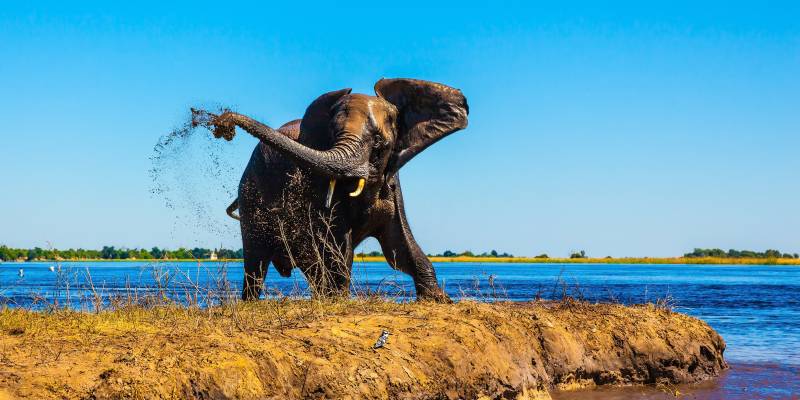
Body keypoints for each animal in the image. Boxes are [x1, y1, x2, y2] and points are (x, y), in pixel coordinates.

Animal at [192, 78, 468, 302]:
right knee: (257, 261)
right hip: (250, 195)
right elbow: (337, 243)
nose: (223, 122)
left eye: (379, 143)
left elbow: (398, 245)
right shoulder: (320, 186)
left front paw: (439, 300)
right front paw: (338, 300)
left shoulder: (392, 183)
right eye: (332, 135)